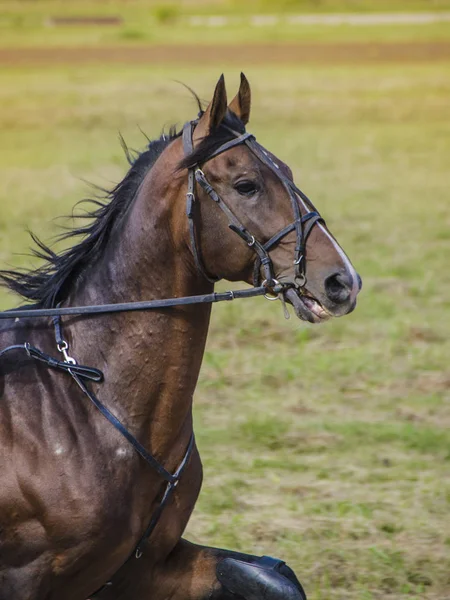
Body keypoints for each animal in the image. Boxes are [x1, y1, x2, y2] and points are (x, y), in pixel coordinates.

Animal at [0, 72, 360, 596]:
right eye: (246, 184)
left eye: (288, 171)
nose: (342, 281)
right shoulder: (27, 578)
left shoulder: (148, 566)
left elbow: (273, 575)